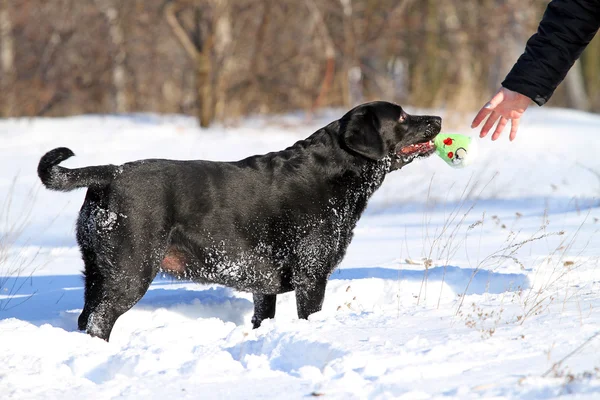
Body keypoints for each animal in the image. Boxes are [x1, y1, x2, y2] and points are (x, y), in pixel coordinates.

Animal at [37, 101, 440, 340]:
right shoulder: (311, 275)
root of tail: (110, 173)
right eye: (401, 116)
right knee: (99, 319)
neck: (334, 173)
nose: (437, 118)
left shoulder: (265, 285)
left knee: (85, 317)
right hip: (130, 270)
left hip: (97, 270)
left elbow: (264, 317)